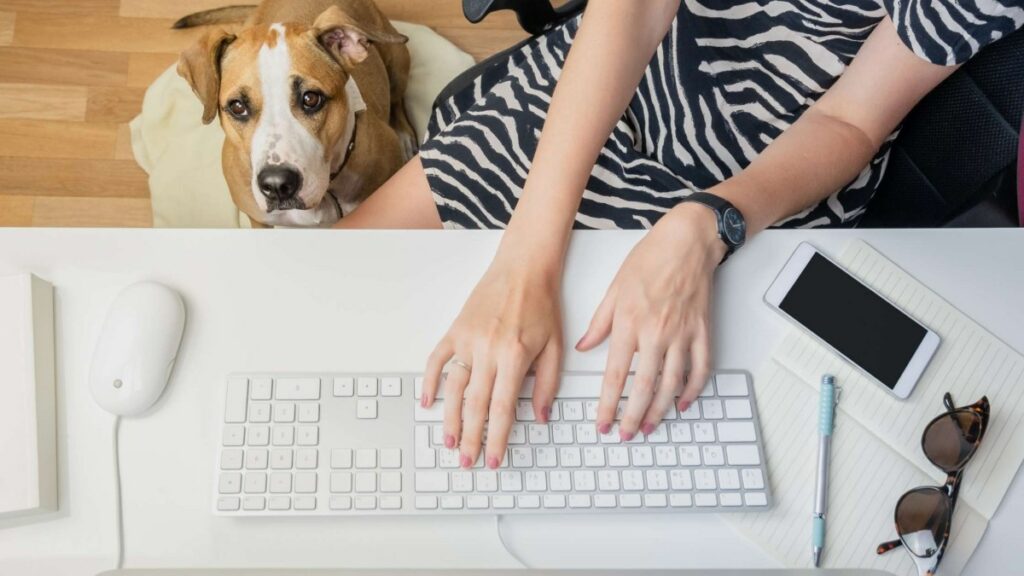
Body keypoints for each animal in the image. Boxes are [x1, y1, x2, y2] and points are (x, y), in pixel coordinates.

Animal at [176, 0, 415, 228]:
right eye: (237, 107)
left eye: (311, 99)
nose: (277, 185)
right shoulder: (258, 220)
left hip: (397, 61)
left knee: (397, 98)